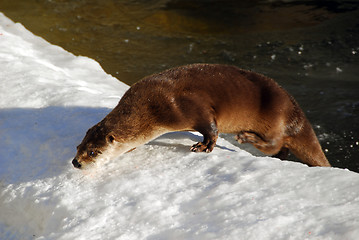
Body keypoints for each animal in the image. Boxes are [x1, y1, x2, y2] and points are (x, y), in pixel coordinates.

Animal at [71, 63, 334, 169]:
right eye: (78, 147)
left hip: (275, 117)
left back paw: (245, 138)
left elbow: (211, 128)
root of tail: (296, 113)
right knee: (282, 149)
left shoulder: (187, 106)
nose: (76, 162)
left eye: (93, 152)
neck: (151, 107)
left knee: (275, 142)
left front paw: (203, 147)